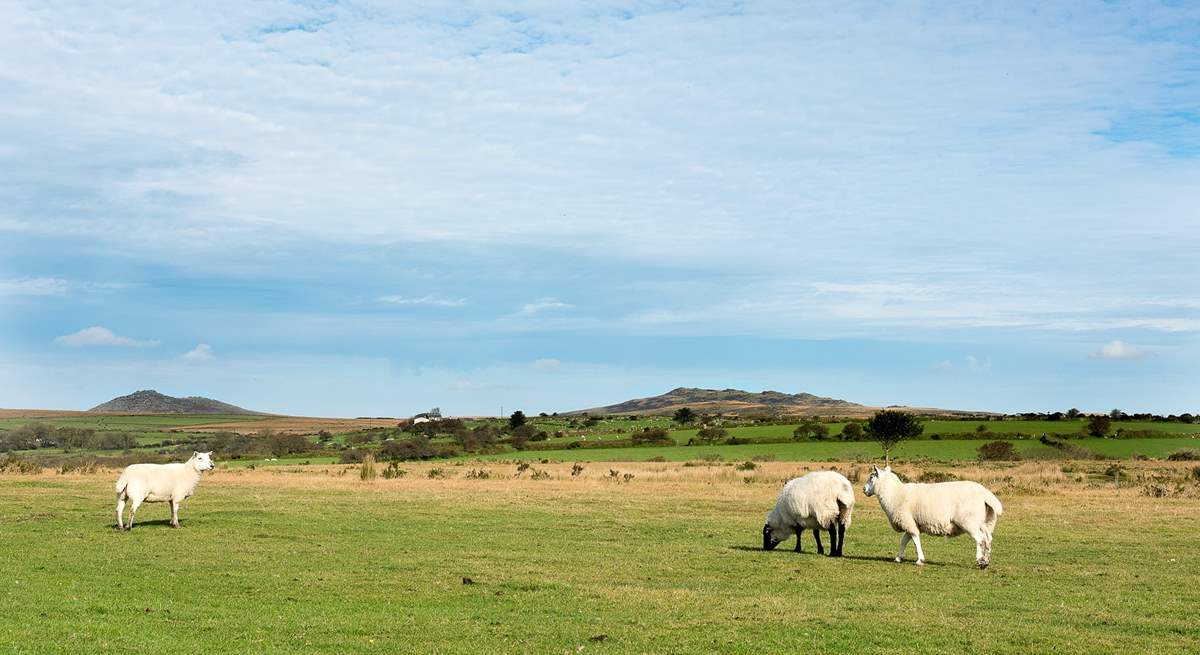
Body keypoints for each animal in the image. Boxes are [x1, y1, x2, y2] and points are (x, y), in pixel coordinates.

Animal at [864, 463, 1003, 566]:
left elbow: (915, 540)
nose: (863, 490)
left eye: (871, 477)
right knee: (988, 539)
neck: (894, 493)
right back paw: (986, 560)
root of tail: (985, 493)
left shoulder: (908, 522)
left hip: (969, 522)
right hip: (983, 521)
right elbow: (904, 540)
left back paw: (980, 560)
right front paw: (898, 557)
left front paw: (919, 560)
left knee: (980, 539)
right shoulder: (911, 522)